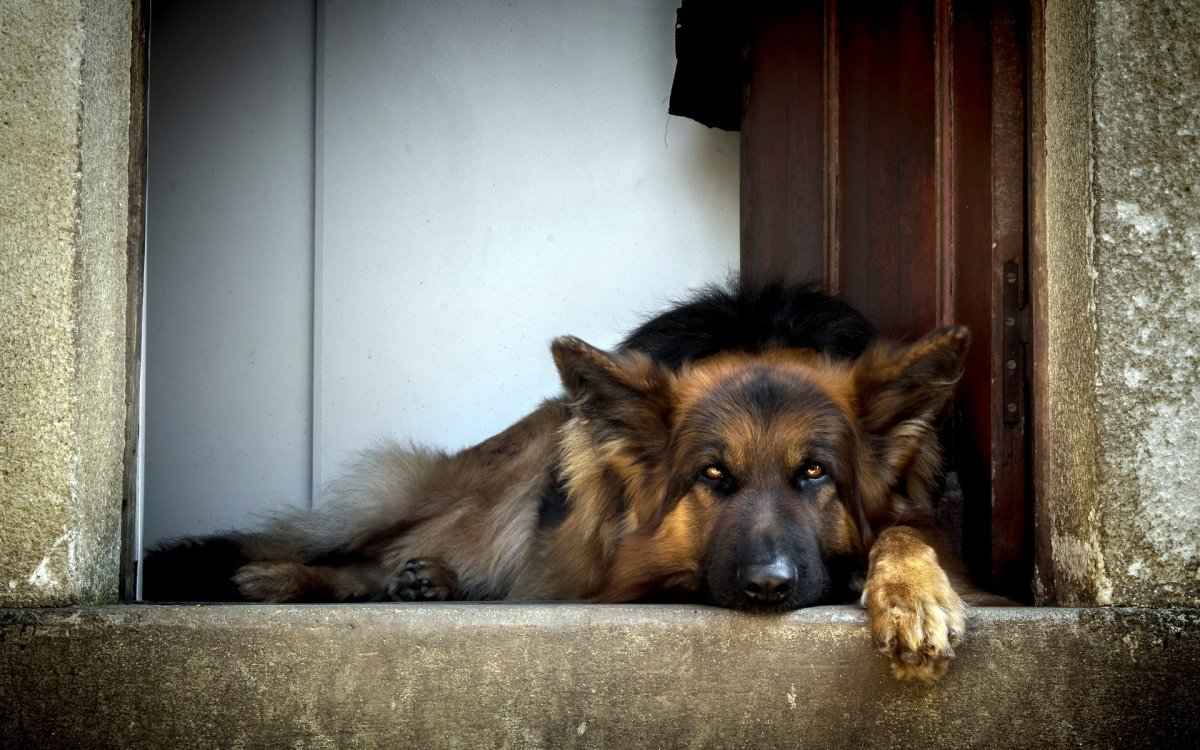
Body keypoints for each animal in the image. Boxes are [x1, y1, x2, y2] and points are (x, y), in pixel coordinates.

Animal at [145, 279, 998, 676]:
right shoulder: (612, 567)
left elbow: (905, 533)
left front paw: (912, 595)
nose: (768, 586)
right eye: (712, 475)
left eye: (815, 473)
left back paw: (426, 582)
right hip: (494, 494)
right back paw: (288, 577)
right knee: (361, 550)